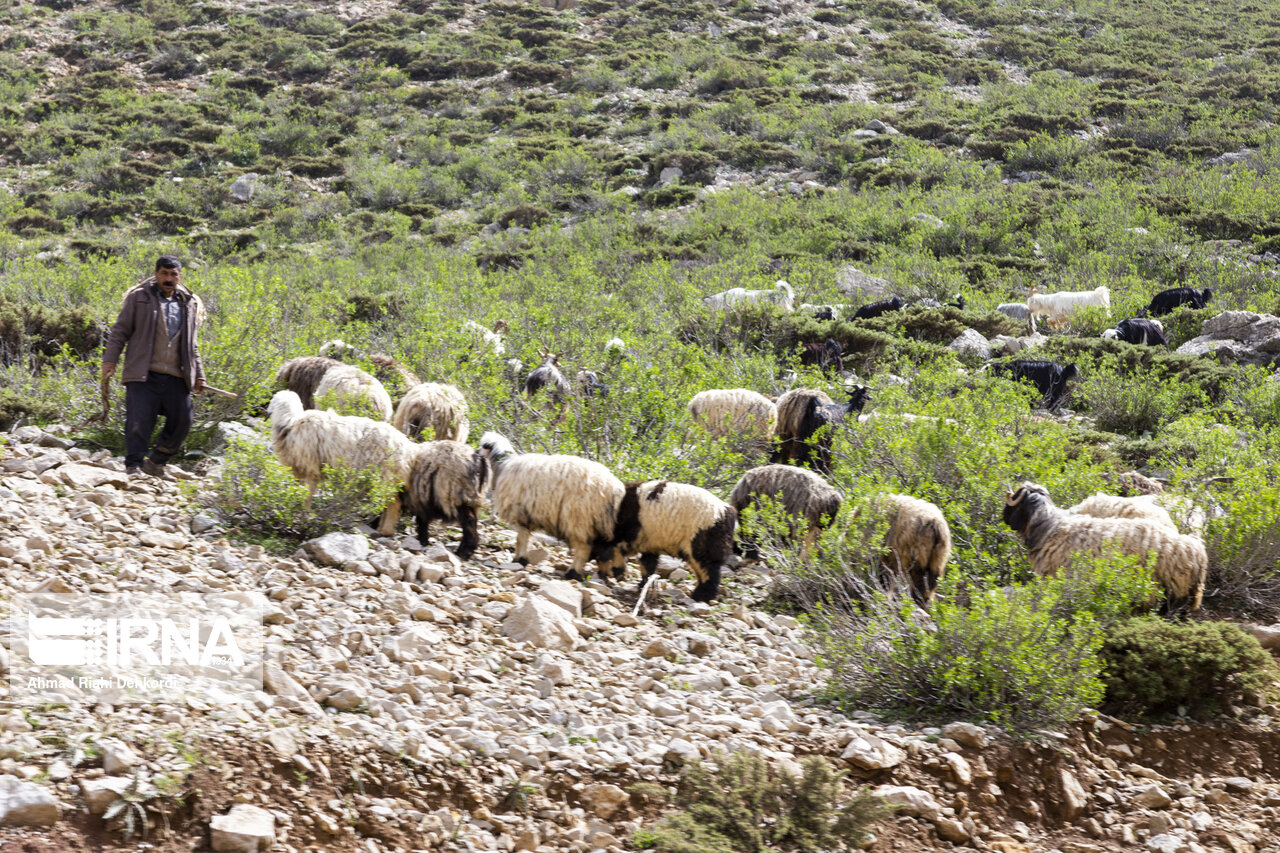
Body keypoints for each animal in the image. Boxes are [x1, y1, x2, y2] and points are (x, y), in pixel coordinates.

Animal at [264, 389, 414, 532]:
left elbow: (307, 494)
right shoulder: (299, 469)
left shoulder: (311, 468)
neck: (291, 422)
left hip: (383, 474)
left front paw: (304, 514)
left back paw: (385, 530)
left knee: (393, 503)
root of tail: (407, 447)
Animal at [478, 432, 622, 578]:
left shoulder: (520, 512)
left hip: (579, 518)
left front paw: (519, 559)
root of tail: (613, 488)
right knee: (609, 548)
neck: (503, 465)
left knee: (584, 547)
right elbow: (524, 537)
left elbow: (521, 538)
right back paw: (608, 573)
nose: (476, 455)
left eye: (482, 446)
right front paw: (521, 559)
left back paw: (573, 572)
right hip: (600, 523)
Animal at [599, 479, 742, 604]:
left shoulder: (631, 529)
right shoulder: (648, 538)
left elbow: (618, 548)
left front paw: (618, 572)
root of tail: (728, 513)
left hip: (700, 536)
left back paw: (702, 596)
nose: (601, 575)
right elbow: (647, 562)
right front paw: (643, 583)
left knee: (707, 567)